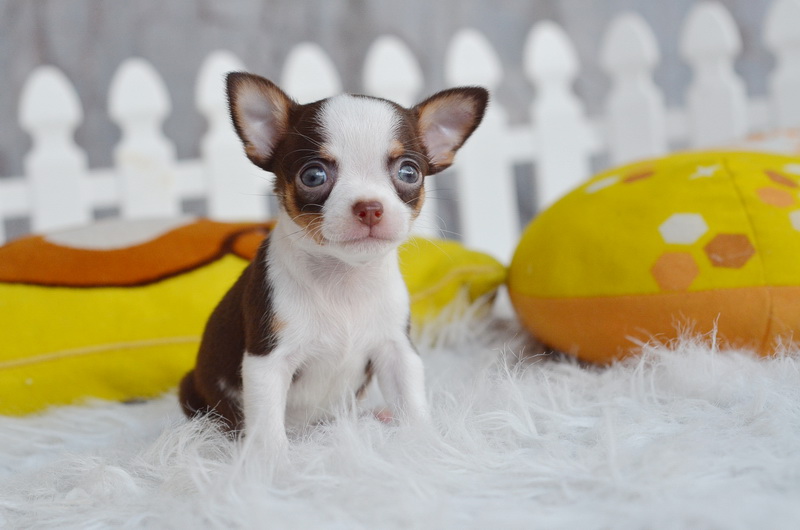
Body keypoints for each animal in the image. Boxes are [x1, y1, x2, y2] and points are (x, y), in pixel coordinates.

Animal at [179, 72, 488, 453]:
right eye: (313, 176)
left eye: (409, 173)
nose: (369, 207)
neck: (344, 277)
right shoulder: (267, 363)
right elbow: (267, 427)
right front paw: (271, 463)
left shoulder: (396, 351)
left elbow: (412, 401)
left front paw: (425, 441)